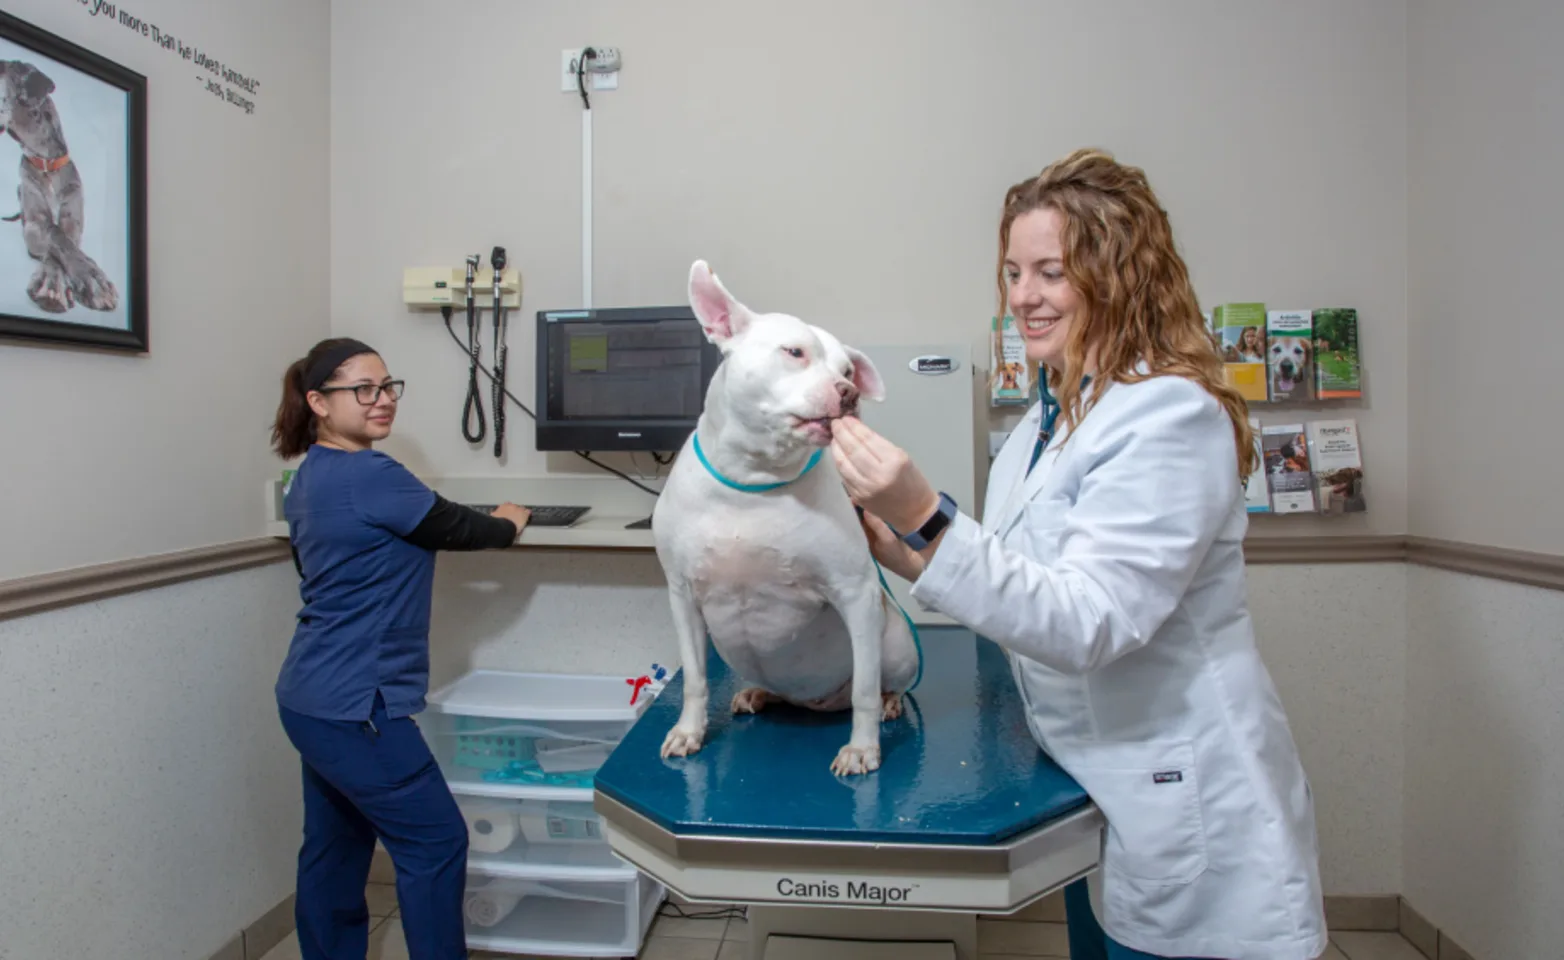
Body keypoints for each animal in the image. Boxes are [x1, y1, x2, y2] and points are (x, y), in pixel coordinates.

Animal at [647, 259, 913, 778]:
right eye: (794, 352)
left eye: (847, 369)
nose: (850, 393)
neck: (752, 482)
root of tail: (818, 702)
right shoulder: (681, 595)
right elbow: (694, 679)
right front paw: (689, 731)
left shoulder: (856, 592)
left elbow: (865, 690)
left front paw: (862, 748)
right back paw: (756, 692)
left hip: (895, 640)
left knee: (879, 682)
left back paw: (890, 702)